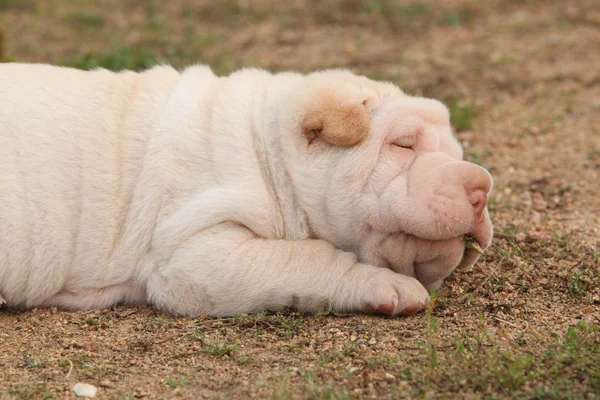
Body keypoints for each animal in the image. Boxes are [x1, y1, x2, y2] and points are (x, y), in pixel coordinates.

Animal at [0, 64, 492, 318]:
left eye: (455, 151)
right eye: (403, 144)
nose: (482, 185)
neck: (268, 151)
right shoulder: (195, 254)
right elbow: (304, 259)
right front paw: (391, 286)